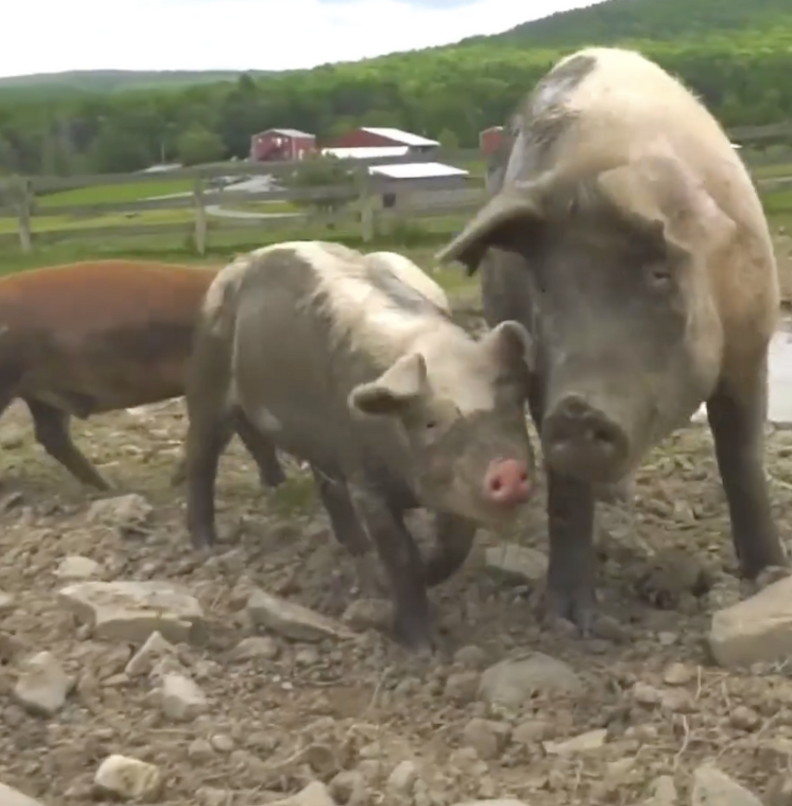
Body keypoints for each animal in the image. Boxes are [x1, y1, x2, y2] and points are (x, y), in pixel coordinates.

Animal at [184, 240, 536, 649]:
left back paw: (357, 547)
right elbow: (400, 553)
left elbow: (454, 546)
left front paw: (427, 572)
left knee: (325, 484)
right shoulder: (366, 482)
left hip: (319, 441)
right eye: (429, 421)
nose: (508, 470)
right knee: (201, 456)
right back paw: (206, 544)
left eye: (513, 403)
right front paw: (421, 646)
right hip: (207, 377)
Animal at [437, 46, 787, 633]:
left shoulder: (750, 342)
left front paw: (770, 576)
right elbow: (566, 495)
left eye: (659, 273)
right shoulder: (538, 371)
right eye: (544, 284)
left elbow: (740, 458)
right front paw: (570, 624)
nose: (577, 409)